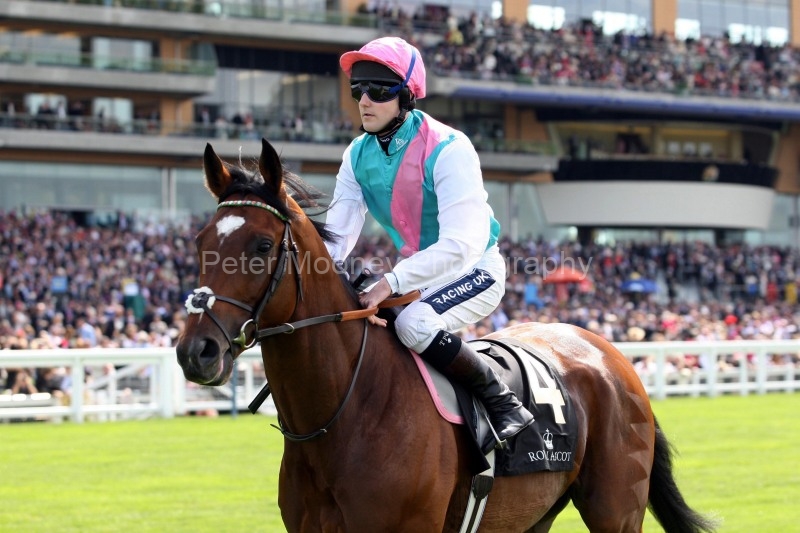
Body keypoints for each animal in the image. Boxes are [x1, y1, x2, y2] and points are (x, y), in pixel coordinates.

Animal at [176, 139, 717, 532]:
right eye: (200, 242)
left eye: (263, 245)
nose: (196, 351)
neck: (342, 412)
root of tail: (613, 357)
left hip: (615, 509)